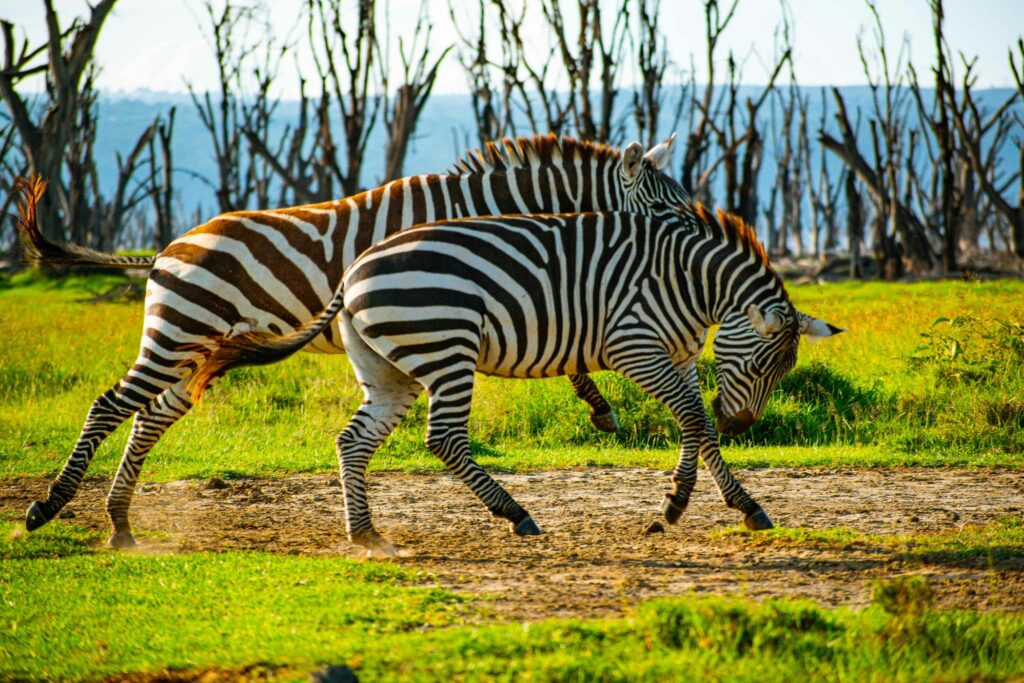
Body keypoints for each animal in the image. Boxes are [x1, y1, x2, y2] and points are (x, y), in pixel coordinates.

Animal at [17, 133, 690, 548]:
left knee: (150, 416)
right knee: (110, 405)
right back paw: (50, 507)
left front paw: (599, 407)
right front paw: (600, 407)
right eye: (671, 213)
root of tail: (165, 249)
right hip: (179, 333)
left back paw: (120, 523)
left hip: (197, 349)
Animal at [186, 203, 843, 556]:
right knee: (444, 439)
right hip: (446, 346)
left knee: (354, 441)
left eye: (781, 373)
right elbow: (693, 421)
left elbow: (696, 424)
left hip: (388, 368)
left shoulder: (676, 355)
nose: (745, 424)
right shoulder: (634, 347)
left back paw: (366, 533)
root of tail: (352, 272)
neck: (688, 283)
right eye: (760, 366)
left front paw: (687, 506)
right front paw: (727, 505)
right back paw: (516, 514)